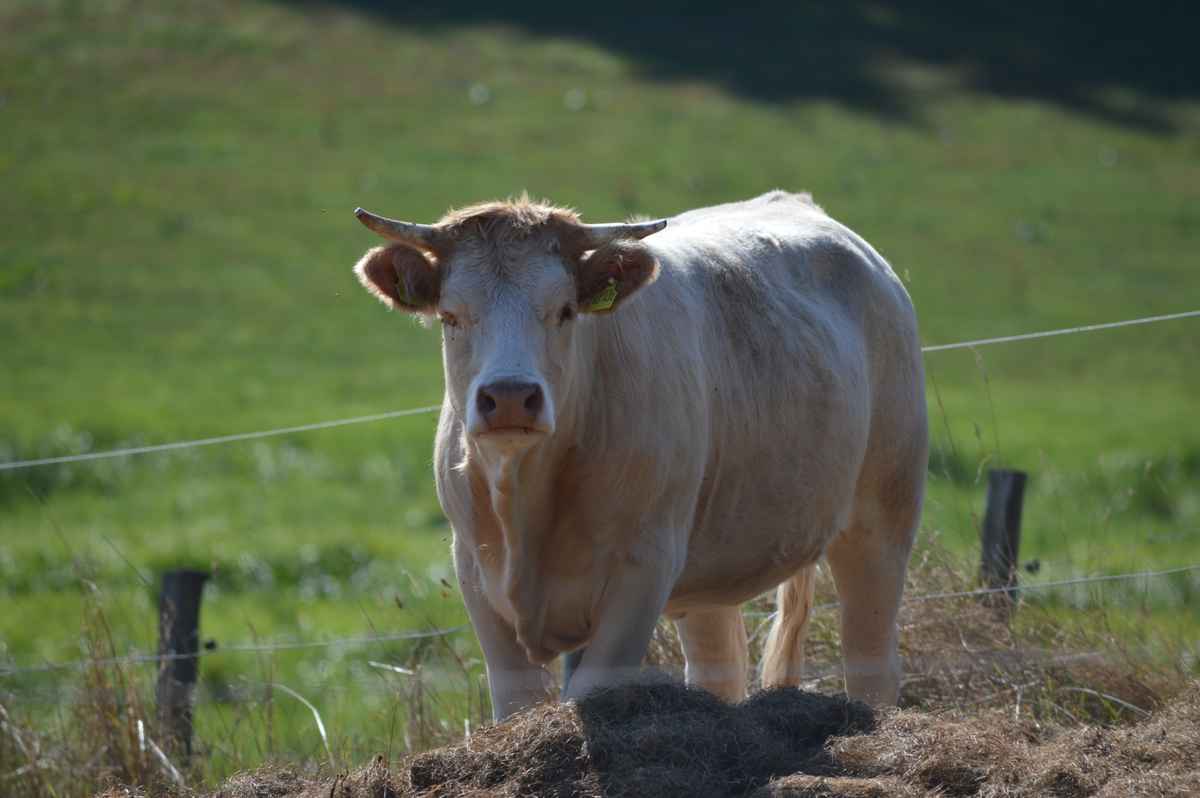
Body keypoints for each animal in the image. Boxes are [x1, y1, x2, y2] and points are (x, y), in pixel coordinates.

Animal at [352, 191, 927, 721]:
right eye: (451, 316)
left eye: (564, 311)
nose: (510, 396)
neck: (527, 497)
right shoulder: (474, 568)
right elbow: (517, 704)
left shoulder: (643, 567)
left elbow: (589, 692)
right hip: (711, 570)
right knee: (719, 668)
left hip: (881, 516)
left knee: (871, 659)